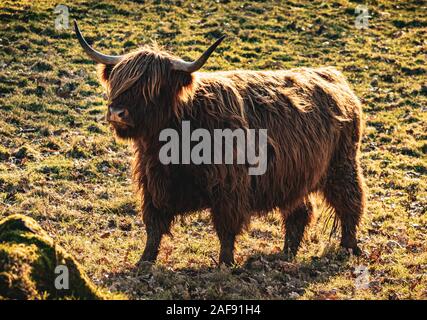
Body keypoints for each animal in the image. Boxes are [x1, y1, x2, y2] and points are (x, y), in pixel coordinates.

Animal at [74, 20, 368, 264]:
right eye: (117, 82)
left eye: (151, 88)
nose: (117, 113)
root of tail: (333, 77)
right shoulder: (153, 183)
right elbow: (154, 223)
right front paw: (145, 260)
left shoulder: (229, 186)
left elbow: (226, 227)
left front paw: (225, 263)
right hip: (294, 175)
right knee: (300, 211)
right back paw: (286, 254)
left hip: (342, 165)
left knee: (351, 202)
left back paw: (348, 247)